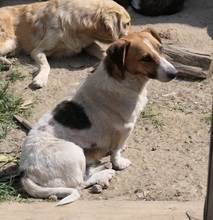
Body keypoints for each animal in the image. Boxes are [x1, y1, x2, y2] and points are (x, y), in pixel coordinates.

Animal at [0, 0, 131, 88]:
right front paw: (41, 78)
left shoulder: (87, 45)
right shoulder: (37, 50)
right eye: (127, 23)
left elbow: (103, 52)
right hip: (11, 42)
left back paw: (4, 63)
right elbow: (46, 64)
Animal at [19, 28, 177, 205]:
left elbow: (116, 147)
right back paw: (104, 173)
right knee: (80, 183)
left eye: (160, 48)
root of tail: (26, 173)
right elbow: (116, 151)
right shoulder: (126, 127)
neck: (122, 79)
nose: (174, 73)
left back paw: (102, 166)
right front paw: (119, 162)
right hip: (75, 152)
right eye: (146, 58)